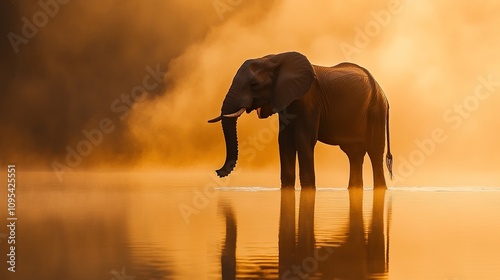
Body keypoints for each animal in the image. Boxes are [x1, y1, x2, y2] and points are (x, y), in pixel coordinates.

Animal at [209, 51, 392, 189]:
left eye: (254, 84)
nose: (217, 171)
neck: (273, 59)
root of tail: (383, 93)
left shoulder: (309, 100)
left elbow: (304, 139)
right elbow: (284, 141)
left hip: (376, 111)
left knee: (375, 152)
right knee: (354, 154)